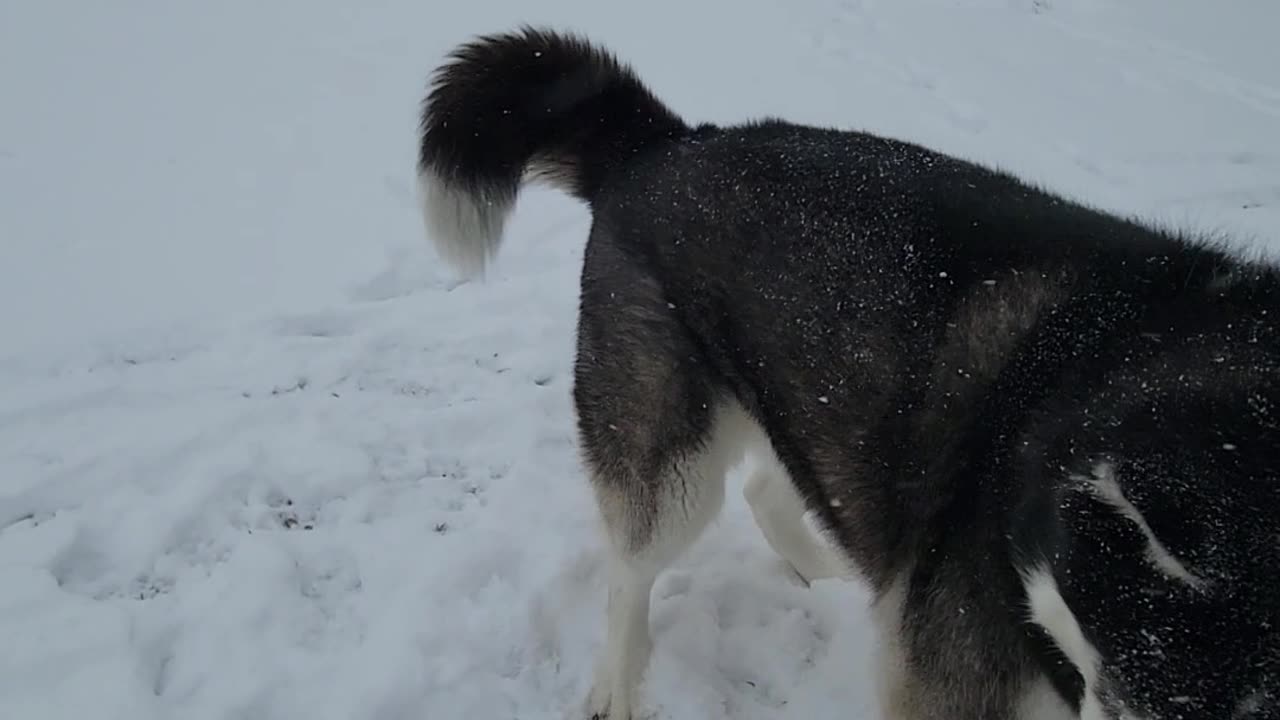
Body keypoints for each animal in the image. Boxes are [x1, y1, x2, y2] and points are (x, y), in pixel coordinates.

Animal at [417, 28, 1280, 717]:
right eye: (1115, 688)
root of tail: (667, 143)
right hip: (671, 463)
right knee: (632, 573)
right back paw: (617, 689)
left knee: (773, 493)